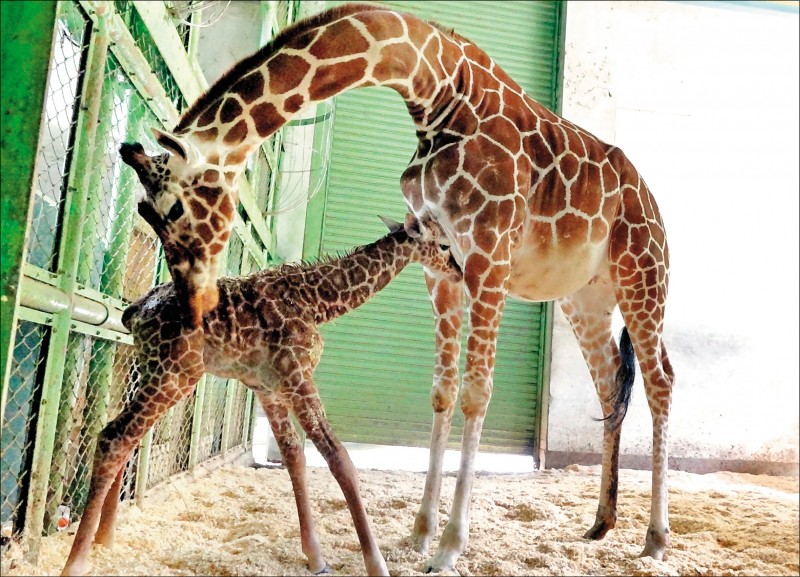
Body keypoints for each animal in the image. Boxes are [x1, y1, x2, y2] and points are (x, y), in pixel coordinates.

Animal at [61, 215, 462, 576]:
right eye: (444, 244)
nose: (460, 272)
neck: (318, 301)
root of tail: (133, 312)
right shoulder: (298, 375)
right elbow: (338, 458)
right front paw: (376, 565)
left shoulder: (269, 386)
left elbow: (294, 456)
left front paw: (316, 558)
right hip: (175, 373)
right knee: (114, 436)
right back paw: (76, 562)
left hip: (152, 369)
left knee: (124, 434)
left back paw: (105, 540)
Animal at [114, 3, 676, 572]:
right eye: (143, 212)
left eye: (172, 210)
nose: (195, 308)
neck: (439, 92)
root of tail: (651, 200)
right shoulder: (442, 265)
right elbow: (442, 391)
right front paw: (420, 533)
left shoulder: (488, 254)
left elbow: (477, 392)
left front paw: (449, 548)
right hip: (585, 297)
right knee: (610, 383)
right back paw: (602, 523)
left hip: (643, 275)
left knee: (660, 381)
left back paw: (655, 538)